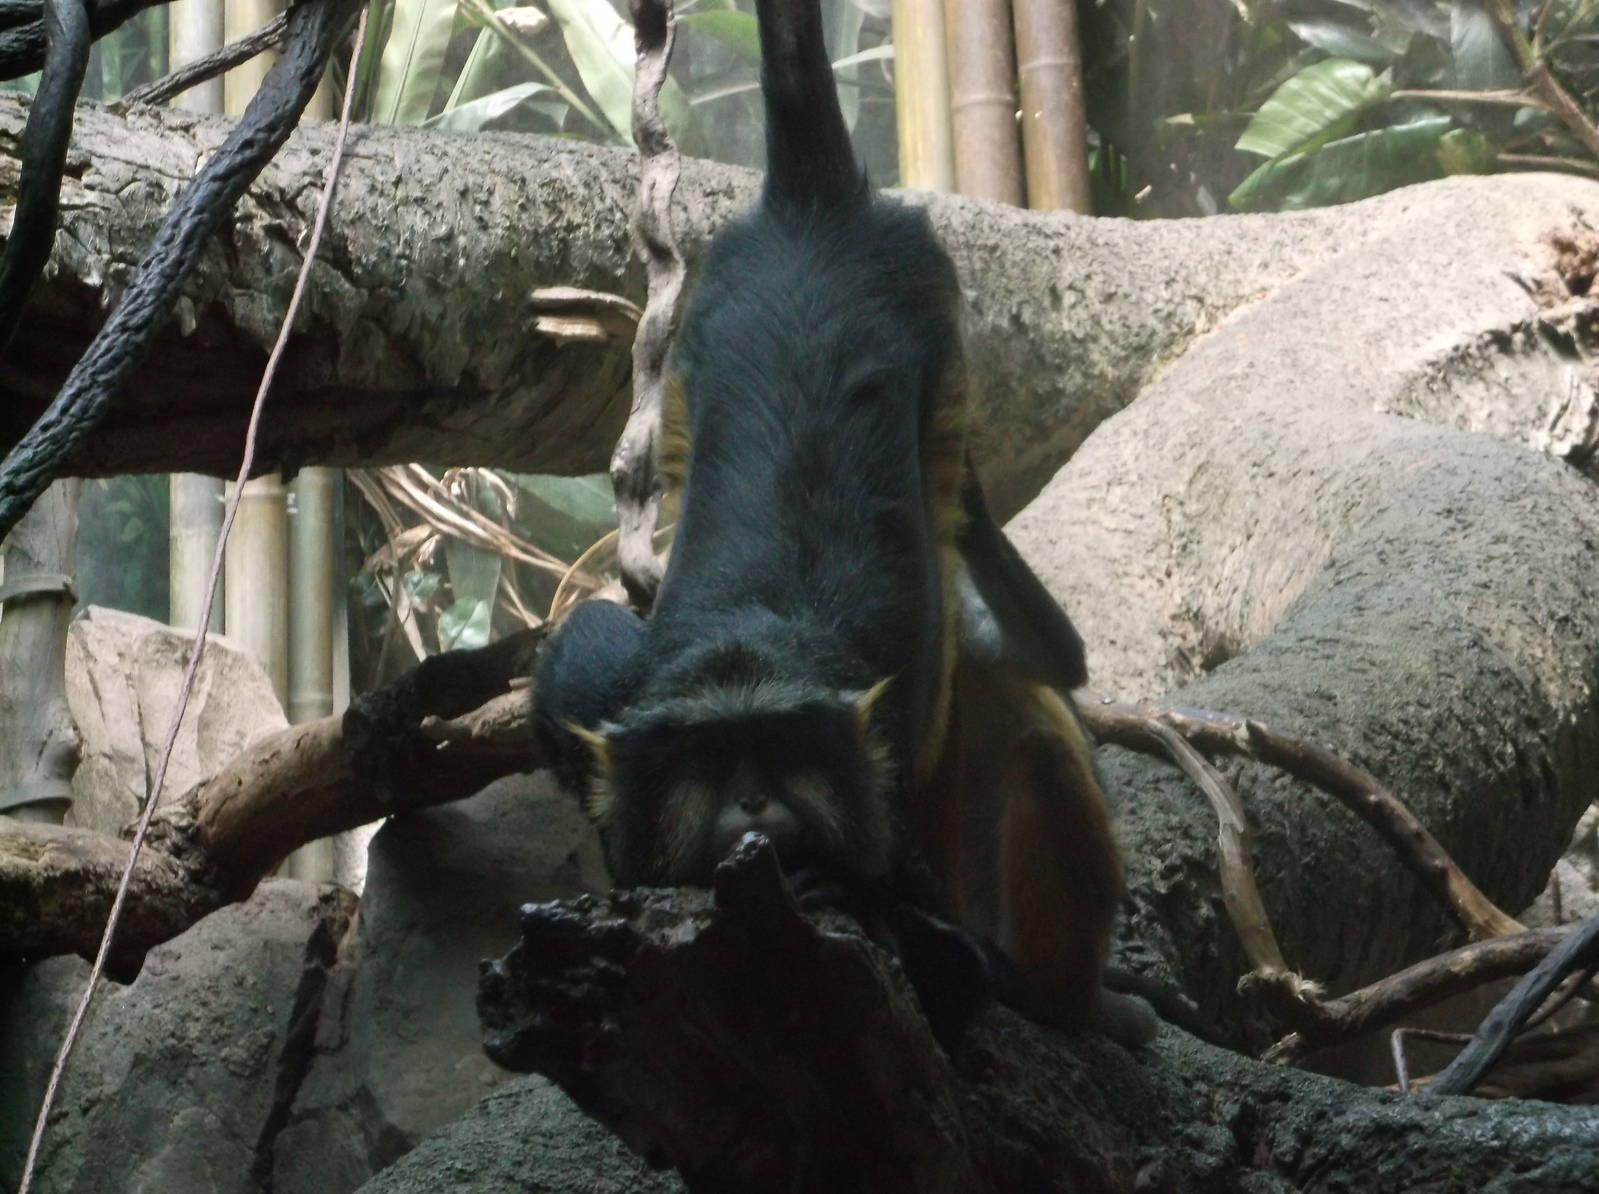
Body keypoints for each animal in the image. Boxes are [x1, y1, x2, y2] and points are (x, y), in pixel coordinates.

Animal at [532, 0, 1152, 1046]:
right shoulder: (603, 685)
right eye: (713, 760)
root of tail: (809, 202)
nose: (752, 797)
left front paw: (875, 914)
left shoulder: (881, 754)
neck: (757, 629)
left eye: (783, 752)